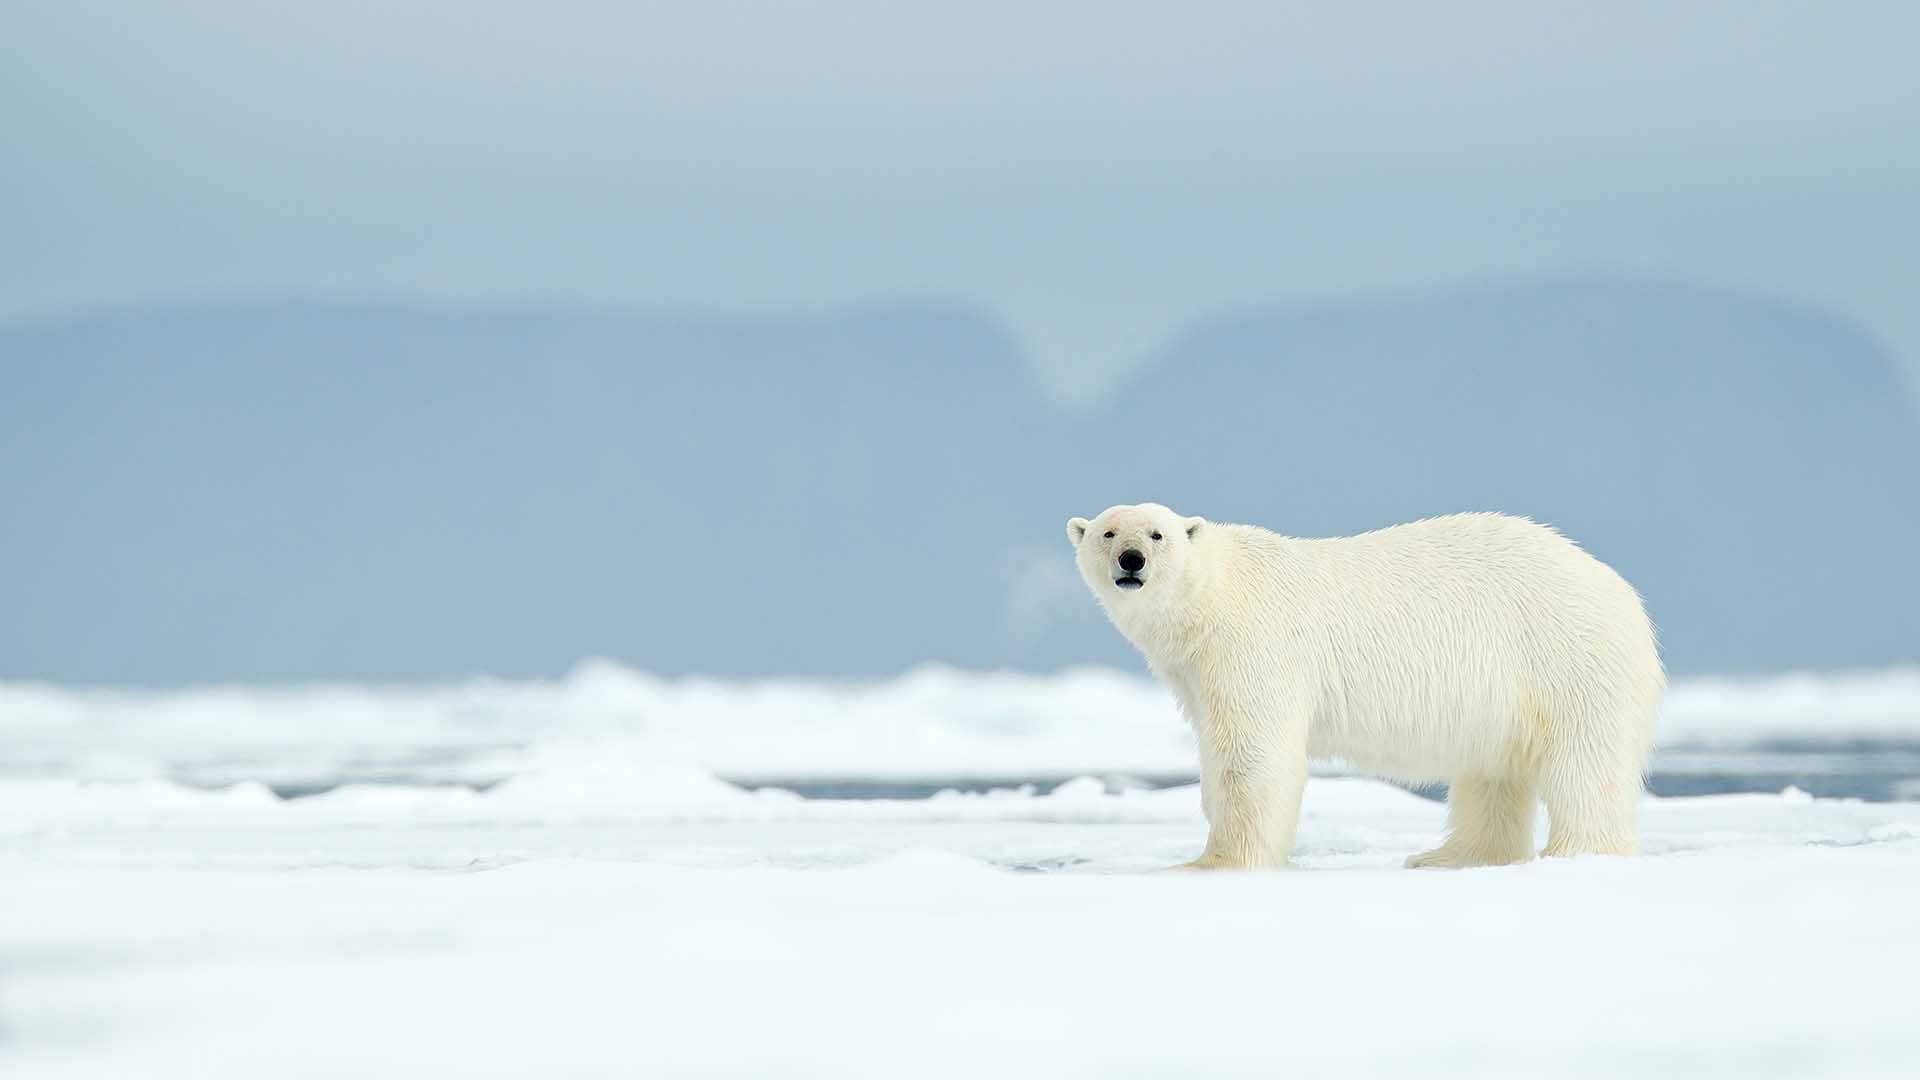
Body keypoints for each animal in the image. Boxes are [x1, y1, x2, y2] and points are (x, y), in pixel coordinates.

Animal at [1067, 503, 1666, 864]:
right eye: (1107, 532)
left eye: (1157, 533)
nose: (1131, 560)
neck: (1218, 595)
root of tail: (1624, 593)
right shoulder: (1195, 673)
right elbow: (1217, 752)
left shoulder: (1254, 647)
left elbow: (1254, 755)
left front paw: (1214, 863)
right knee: (1493, 770)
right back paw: (1449, 857)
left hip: (1567, 658)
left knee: (1586, 767)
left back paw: (1576, 854)